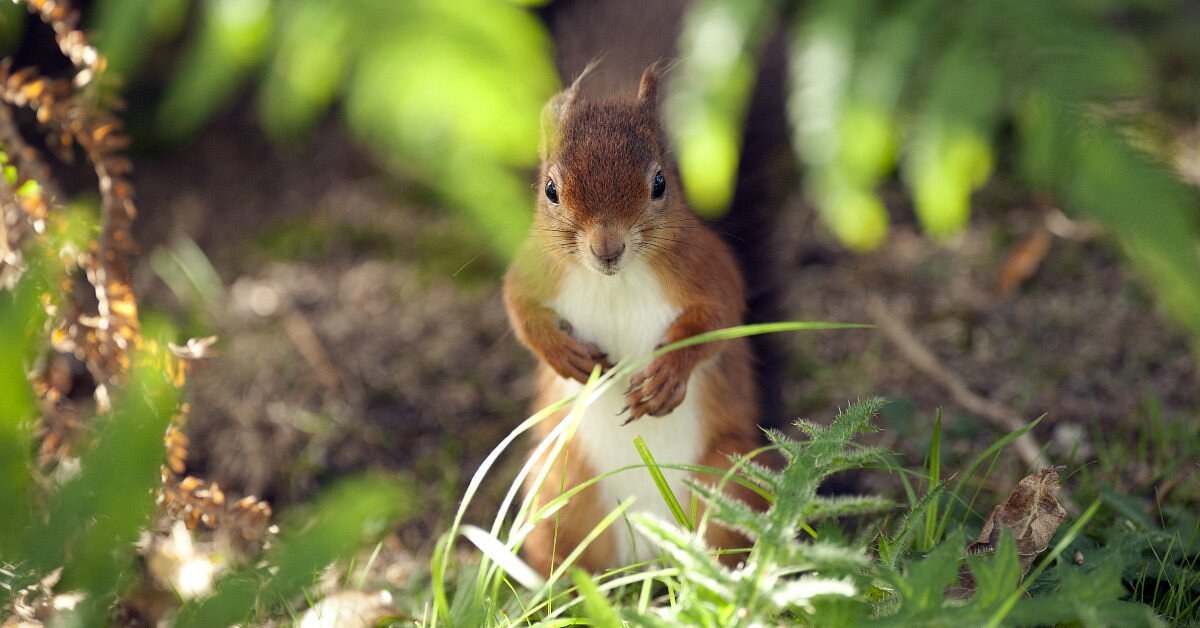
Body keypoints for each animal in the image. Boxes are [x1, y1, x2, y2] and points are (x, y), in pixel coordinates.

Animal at [503, 63, 767, 576]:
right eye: (550, 190)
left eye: (660, 183)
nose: (607, 248)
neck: (614, 281)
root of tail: (644, 550)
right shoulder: (532, 272)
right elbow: (519, 311)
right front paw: (565, 356)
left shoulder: (709, 270)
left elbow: (718, 322)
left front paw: (664, 379)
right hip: (559, 490)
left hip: (727, 478)